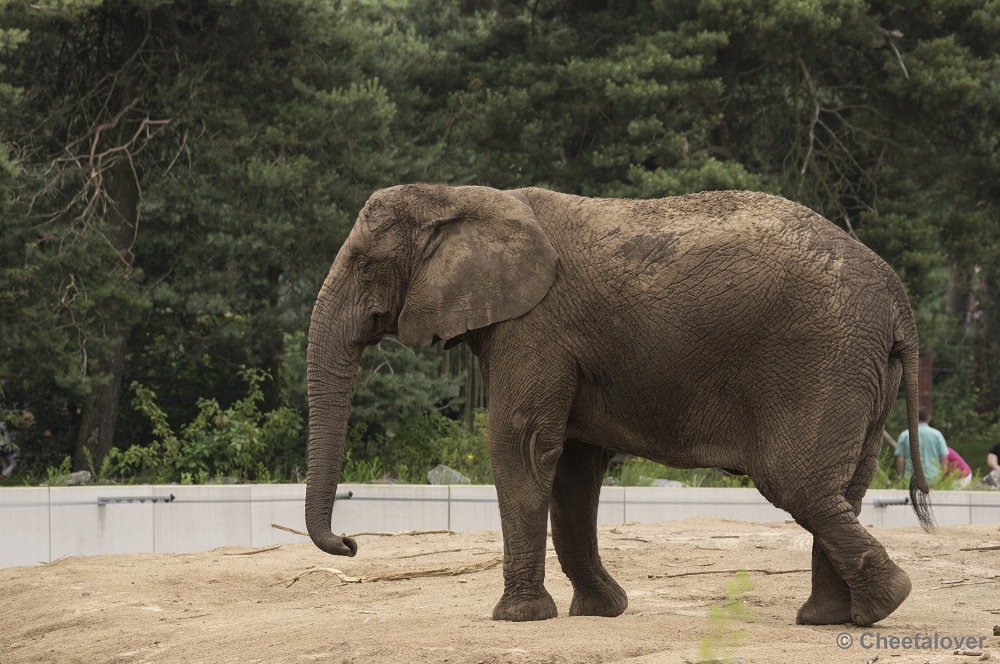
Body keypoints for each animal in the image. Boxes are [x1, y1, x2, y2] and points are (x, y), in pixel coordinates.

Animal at [304, 183, 928, 628]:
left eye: (365, 264)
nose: (351, 544)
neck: (461, 195)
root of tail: (898, 297)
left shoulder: (534, 327)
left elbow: (521, 447)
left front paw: (517, 619)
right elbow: (573, 467)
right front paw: (604, 610)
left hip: (823, 358)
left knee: (796, 481)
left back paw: (882, 605)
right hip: (862, 367)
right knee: (841, 488)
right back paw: (834, 618)